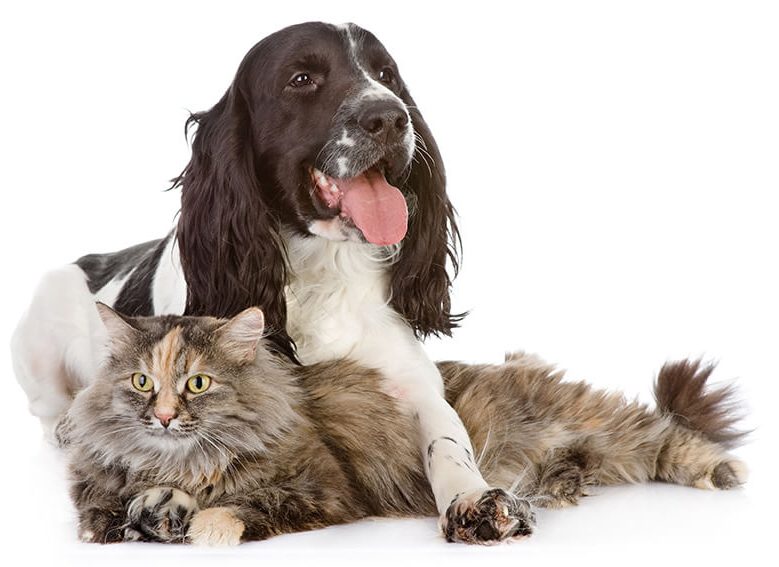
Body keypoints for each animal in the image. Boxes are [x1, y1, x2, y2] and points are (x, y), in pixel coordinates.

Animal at [13, 22, 536, 544]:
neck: (322, 271)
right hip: (40, 322)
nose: (390, 116)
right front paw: (164, 494)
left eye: (387, 74)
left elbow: (448, 440)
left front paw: (474, 498)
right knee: (48, 413)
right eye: (301, 79)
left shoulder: (412, 383)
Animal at [58, 304, 748, 548]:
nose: (162, 415)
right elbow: (132, 507)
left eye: (197, 383)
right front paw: (154, 513)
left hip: (605, 429)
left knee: (665, 435)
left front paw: (199, 523)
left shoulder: (325, 489)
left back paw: (725, 471)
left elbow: (235, 509)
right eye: (141, 382)